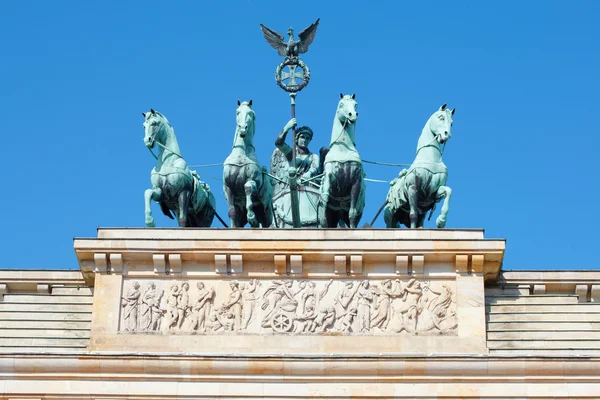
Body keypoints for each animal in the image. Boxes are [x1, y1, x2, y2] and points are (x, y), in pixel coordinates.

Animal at [223, 100, 274, 228]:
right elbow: (231, 212)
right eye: (237, 112)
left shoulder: (253, 180)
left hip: (266, 211)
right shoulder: (227, 187)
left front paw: (251, 216)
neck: (242, 154)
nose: (242, 128)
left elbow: (247, 188)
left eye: (251, 113)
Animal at [318, 92, 366, 227]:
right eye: (341, 104)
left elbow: (352, 213)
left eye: (356, 104)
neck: (343, 149)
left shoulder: (356, 181)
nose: (352, 115)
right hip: (333, 215)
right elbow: (325, 198)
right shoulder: (330, 174)